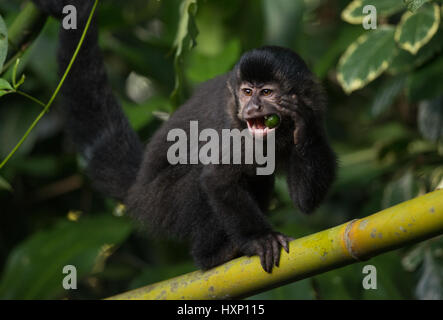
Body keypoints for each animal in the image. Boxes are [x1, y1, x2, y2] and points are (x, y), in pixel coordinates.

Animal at [33, 1, 338, 274]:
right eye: (247, 92)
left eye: (266, 92)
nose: (251, 109)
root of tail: (137, 188)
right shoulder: (236, 132)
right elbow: (216, 179)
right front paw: (259, 239)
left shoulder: (316, 107)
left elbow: (304, 200)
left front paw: (304, 125)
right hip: (160, 202)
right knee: (197, 181)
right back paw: (211, 256)